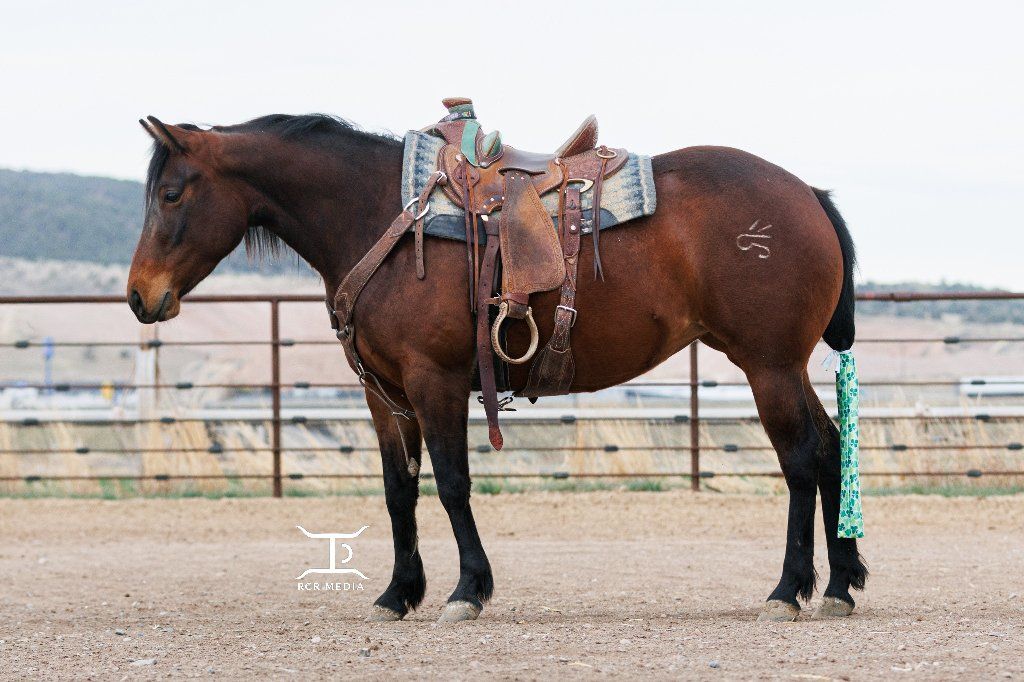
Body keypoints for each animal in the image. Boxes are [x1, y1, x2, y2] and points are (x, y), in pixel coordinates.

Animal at [127, 111, 867, 623]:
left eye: (171, 194)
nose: (139, 296)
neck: (383, 216)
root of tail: (808, 193)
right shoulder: (385, 396)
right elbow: (399, 491)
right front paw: (398, 593)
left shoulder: (436, 382)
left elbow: (453, 484)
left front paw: (467, 590)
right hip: (784, 368)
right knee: (831, 448)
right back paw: (840, 583)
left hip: (768, 366)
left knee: (801, 459)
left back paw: (789, 589)